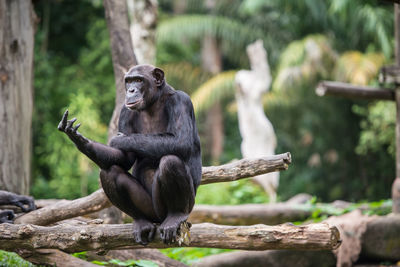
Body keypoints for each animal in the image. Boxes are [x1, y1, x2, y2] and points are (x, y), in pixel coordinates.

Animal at [57, 64, 202, 245]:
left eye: (139, 80)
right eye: (129, 81)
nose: (131, 90)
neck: (153, 102)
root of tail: (158, 219)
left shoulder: (181, 101)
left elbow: (180, 142)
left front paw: (119, 140)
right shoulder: (124, 111)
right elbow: (125, 159)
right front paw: (81, 140)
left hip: (183, 208)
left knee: (171, 161)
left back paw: (175, 217)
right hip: (149, 209)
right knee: (110, 172)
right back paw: (141, 222)